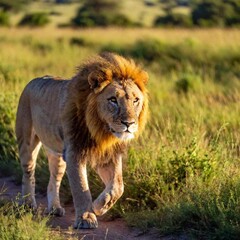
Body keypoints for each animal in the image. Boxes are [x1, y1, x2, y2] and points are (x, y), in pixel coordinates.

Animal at [15, 52, 148, 229]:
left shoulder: (107, 155)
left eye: (135, 100)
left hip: (57, 154)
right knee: (28, 173)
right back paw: (28, 205)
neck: (102, 130)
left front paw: (98, 207)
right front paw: (86, 218)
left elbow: (118, 187)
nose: (129, 123)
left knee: (53, 181)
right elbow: (81, 187)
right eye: (113, 100)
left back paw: (55, 208)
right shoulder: (75, 152)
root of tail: (32, 81)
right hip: (27, 142)